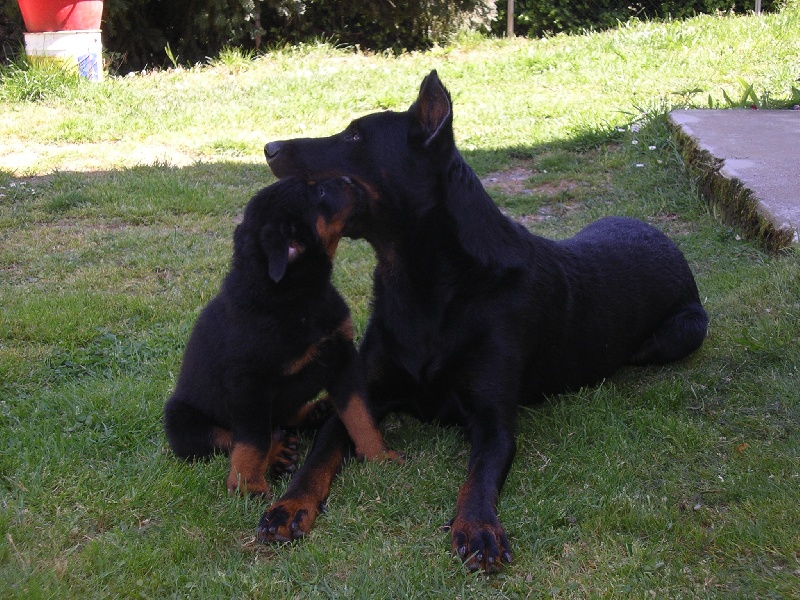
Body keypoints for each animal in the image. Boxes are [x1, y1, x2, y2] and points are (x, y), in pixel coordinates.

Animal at [165, 176, 396, 500]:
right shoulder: (249, 383)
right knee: (234, 435)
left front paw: (378, 454)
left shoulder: (342, 355)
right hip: (181, 422)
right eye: (319, 191)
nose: (349, 179)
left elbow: (358, 411)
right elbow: (252, 439)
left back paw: (316, 412)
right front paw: (248, 485)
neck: (296, 297)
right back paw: (278, 453)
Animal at [258, 70, 708, 572]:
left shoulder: (493, 420)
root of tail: (664, 237)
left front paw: (477, 527)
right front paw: (290, 505)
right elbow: (321, 452)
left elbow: (480, 475)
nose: (268, 148)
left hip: (679, 333)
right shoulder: (364, 394)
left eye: (355, 137)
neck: (423, 285)